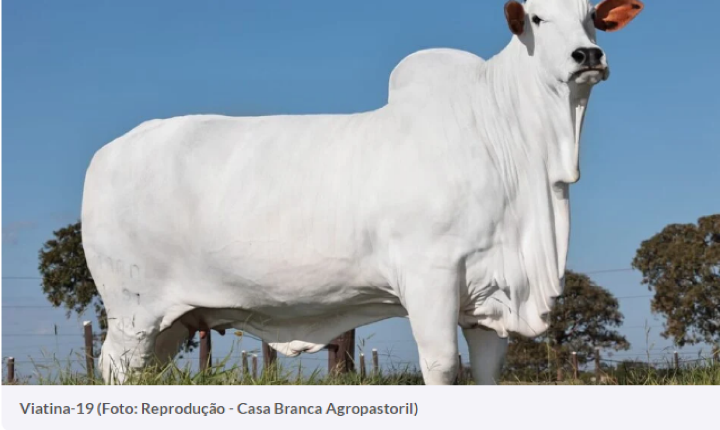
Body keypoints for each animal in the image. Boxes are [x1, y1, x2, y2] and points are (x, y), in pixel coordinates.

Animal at [81, 0, 644, 382]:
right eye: (537, 18)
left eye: (592, 16)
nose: (587, 55)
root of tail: (109, 151)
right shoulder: (430, 274)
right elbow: (442, 365)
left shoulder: (491, 295)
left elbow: (485, 374)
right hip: (131, 311)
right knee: (115, 367)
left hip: (171, 321)